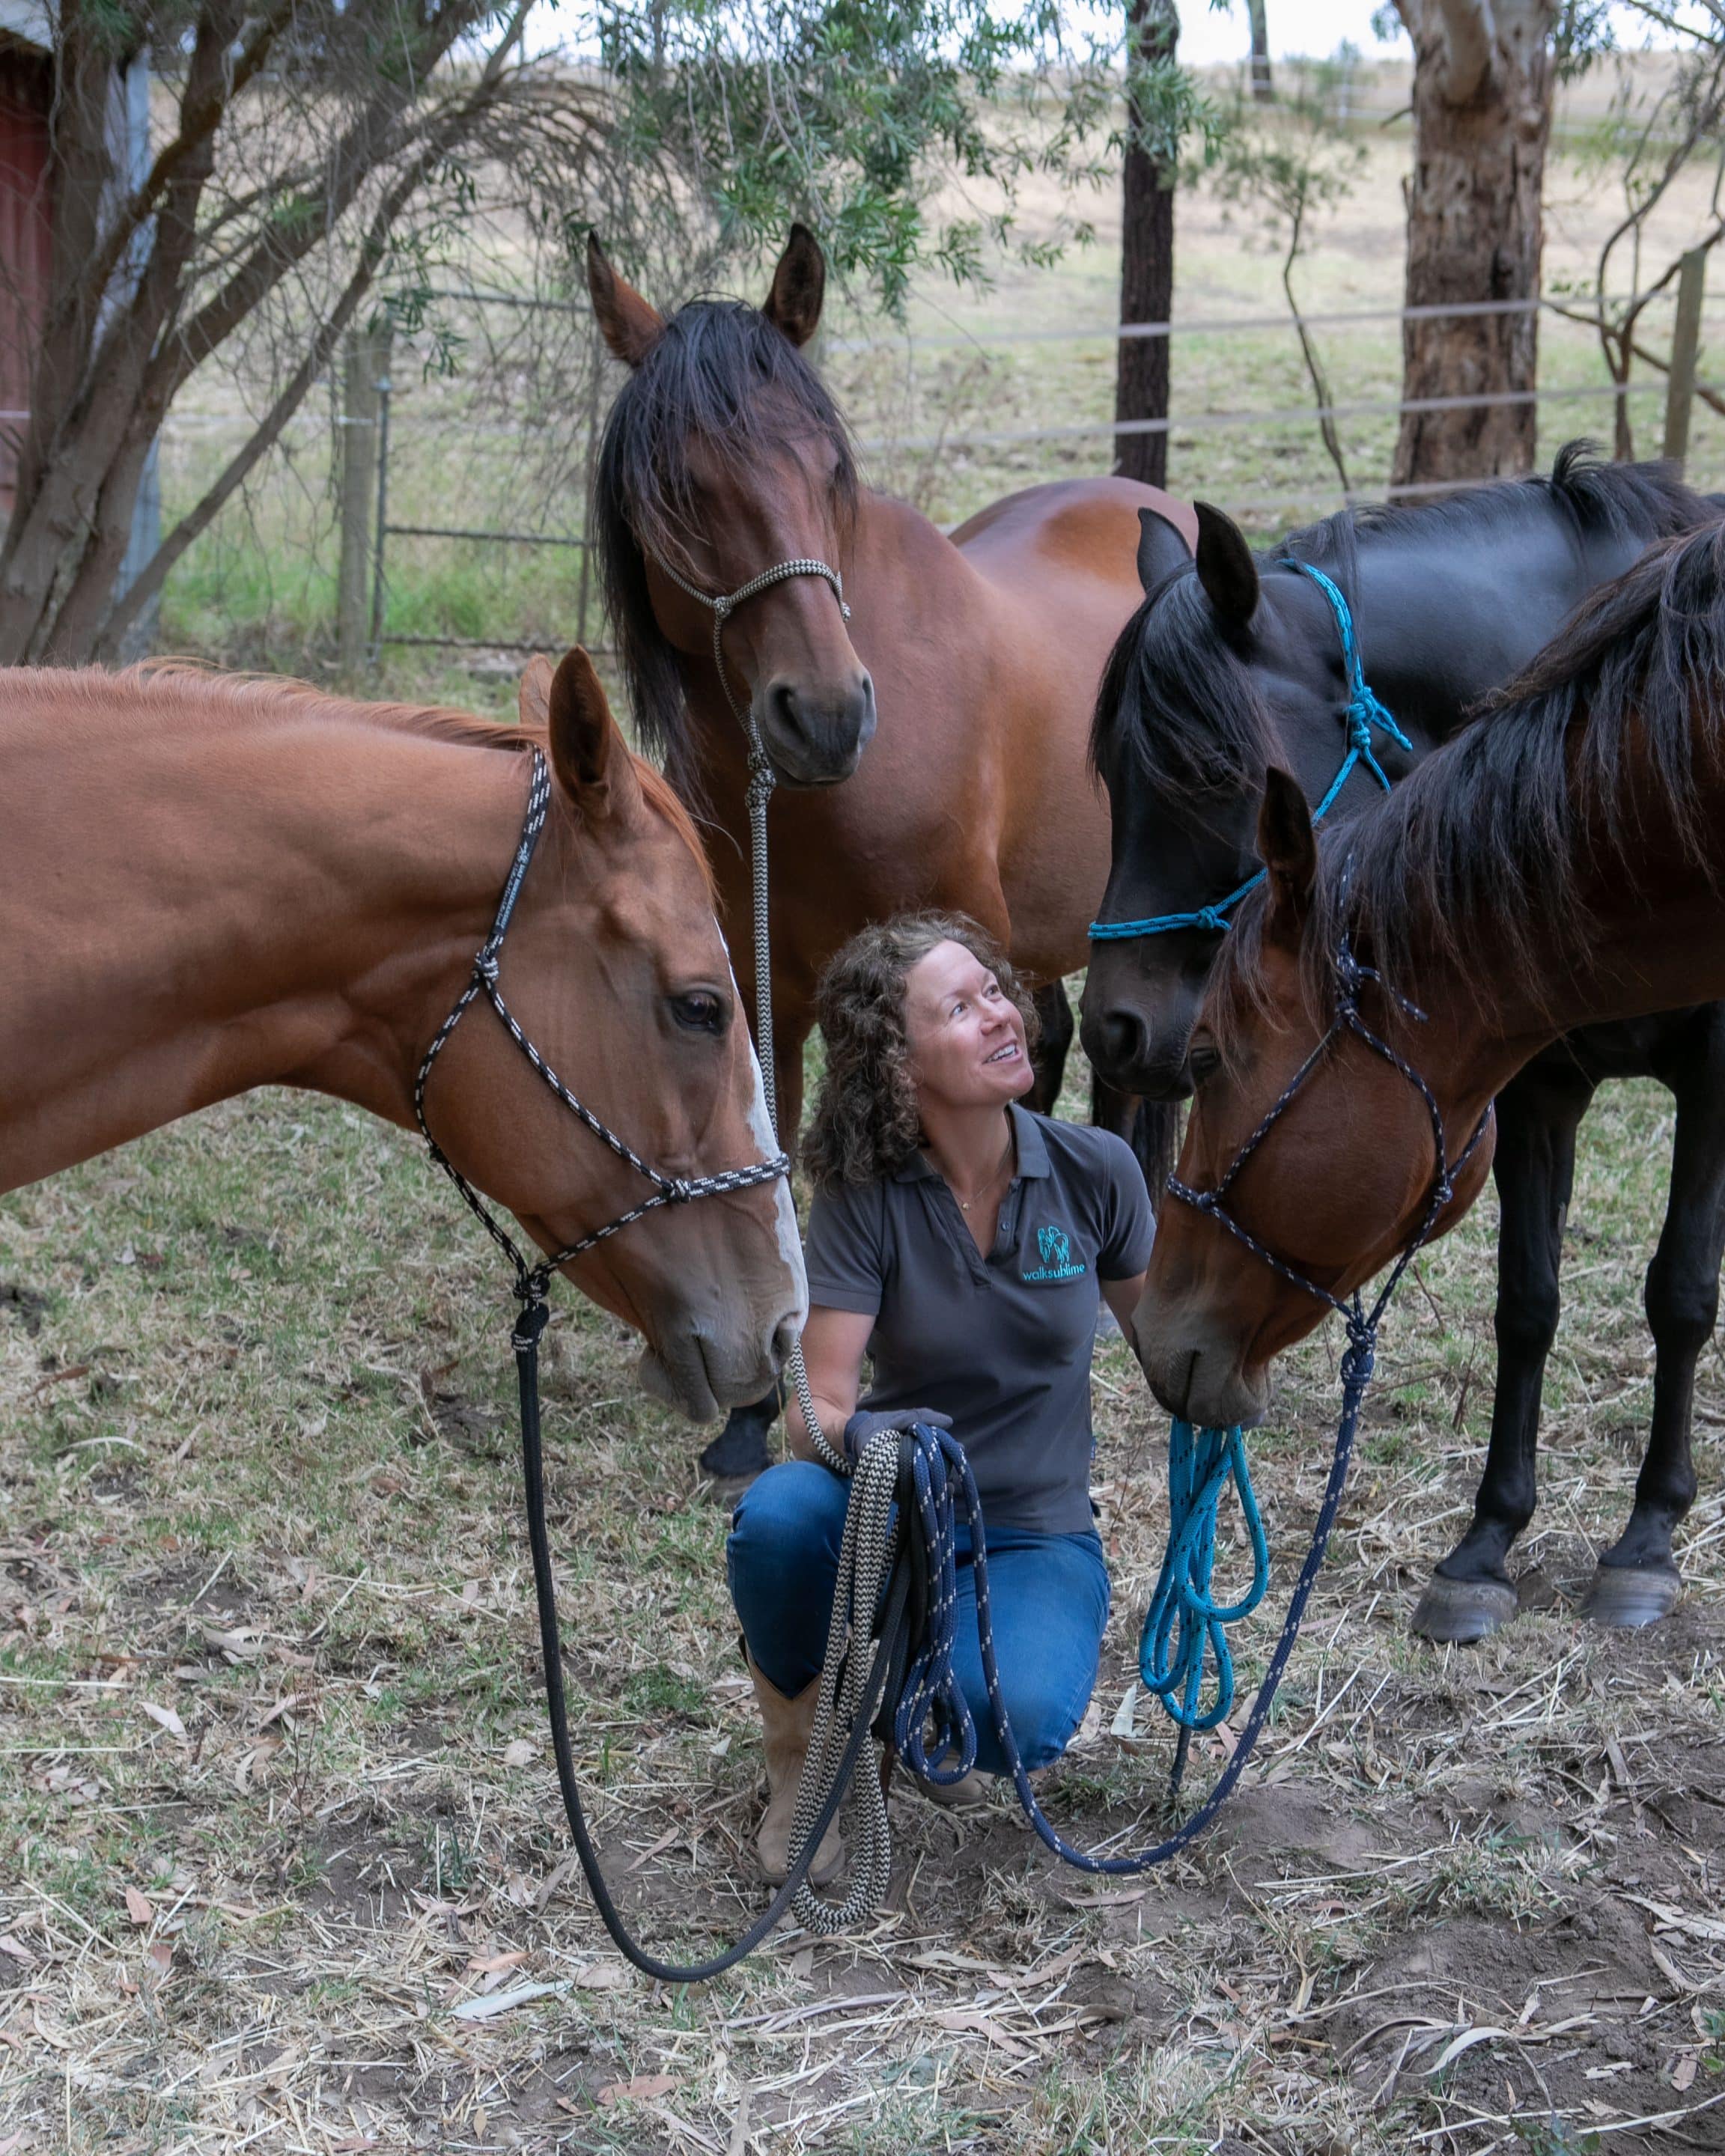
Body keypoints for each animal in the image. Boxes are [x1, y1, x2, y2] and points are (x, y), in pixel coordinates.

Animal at [1086, 446, 1716, 1638]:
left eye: (1213, 776)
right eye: (1107, 780)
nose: (1112, 1025)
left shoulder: (1720, 1083)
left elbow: (1681, 1295)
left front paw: (1650, 1534)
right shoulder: (1534, 1085)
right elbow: (1528, 1303)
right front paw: (1487, 1543)